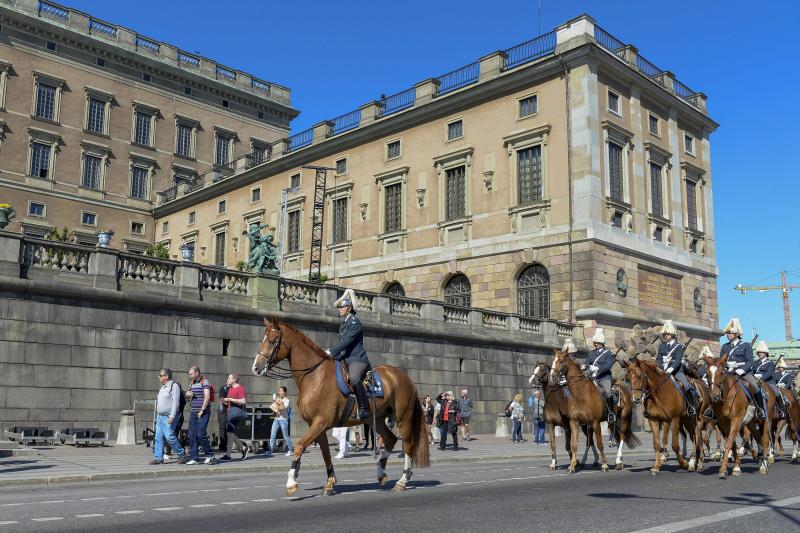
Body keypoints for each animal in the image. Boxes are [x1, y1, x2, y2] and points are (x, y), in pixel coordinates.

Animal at [252, 316, 432, 494]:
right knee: (391, 439)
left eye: (272, 341)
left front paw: (291, 481)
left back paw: (402, 480)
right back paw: (381, 473)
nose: (256, 368)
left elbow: (299, 446)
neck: (314, 376)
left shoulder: (320, 422)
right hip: (377, 419)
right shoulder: (317, 425)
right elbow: (325, 453)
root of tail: (404, 376)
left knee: (408, 445)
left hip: (403, 417)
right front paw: (330, 482)